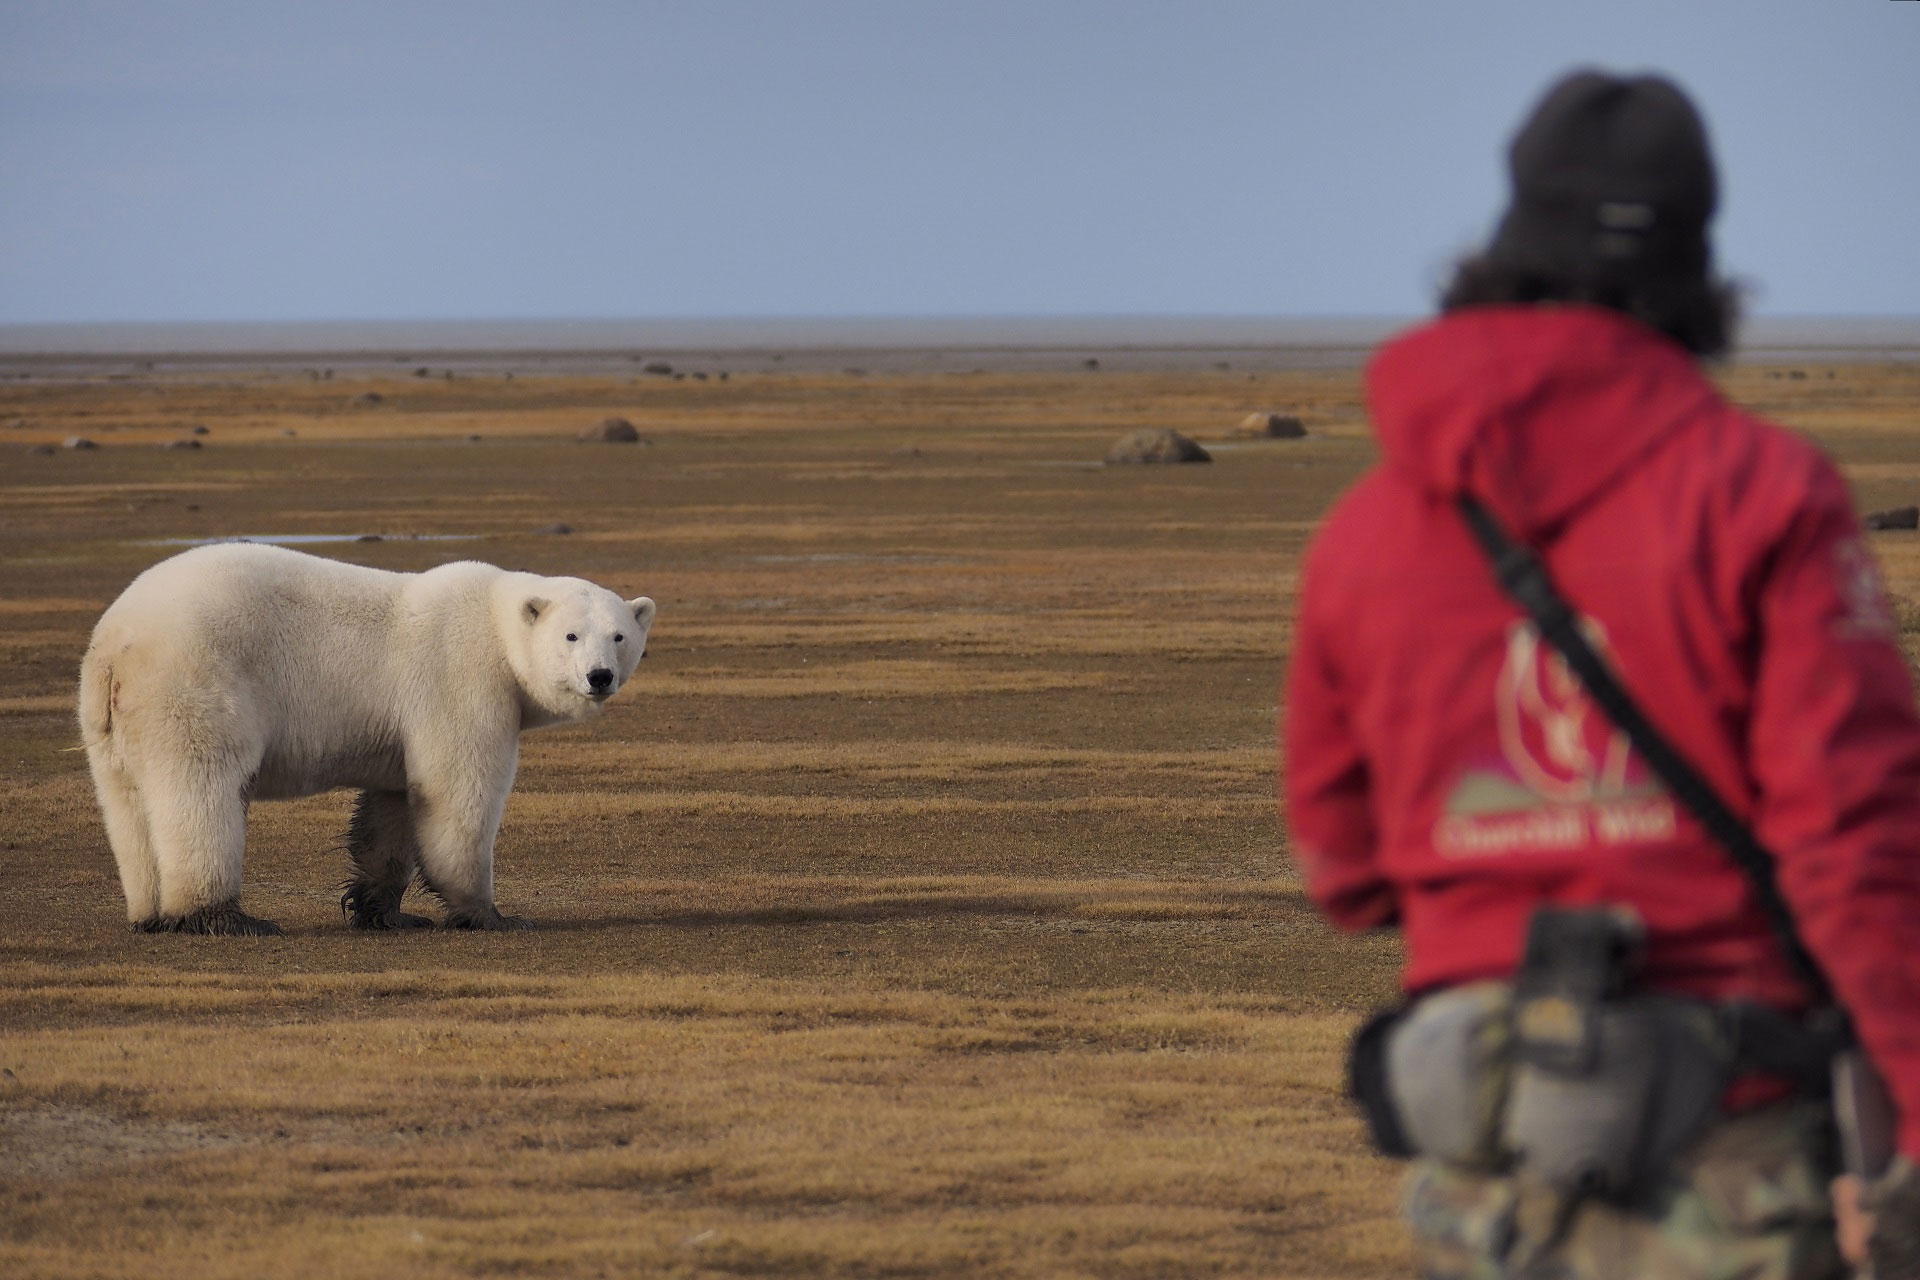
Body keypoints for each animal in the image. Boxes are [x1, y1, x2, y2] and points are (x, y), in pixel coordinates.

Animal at [76, 545, 652, 936]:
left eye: (620, 636)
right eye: (571, 635)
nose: (599, 676)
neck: (493, 623)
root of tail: (117, 642)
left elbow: (392, 808)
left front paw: (383, 909)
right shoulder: (461, 677)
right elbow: (457, 791)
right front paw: (490, 913)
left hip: (110, 721)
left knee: (127, 802)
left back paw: (149, 913)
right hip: (197, 680)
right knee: (203, 788)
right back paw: (223, 916)